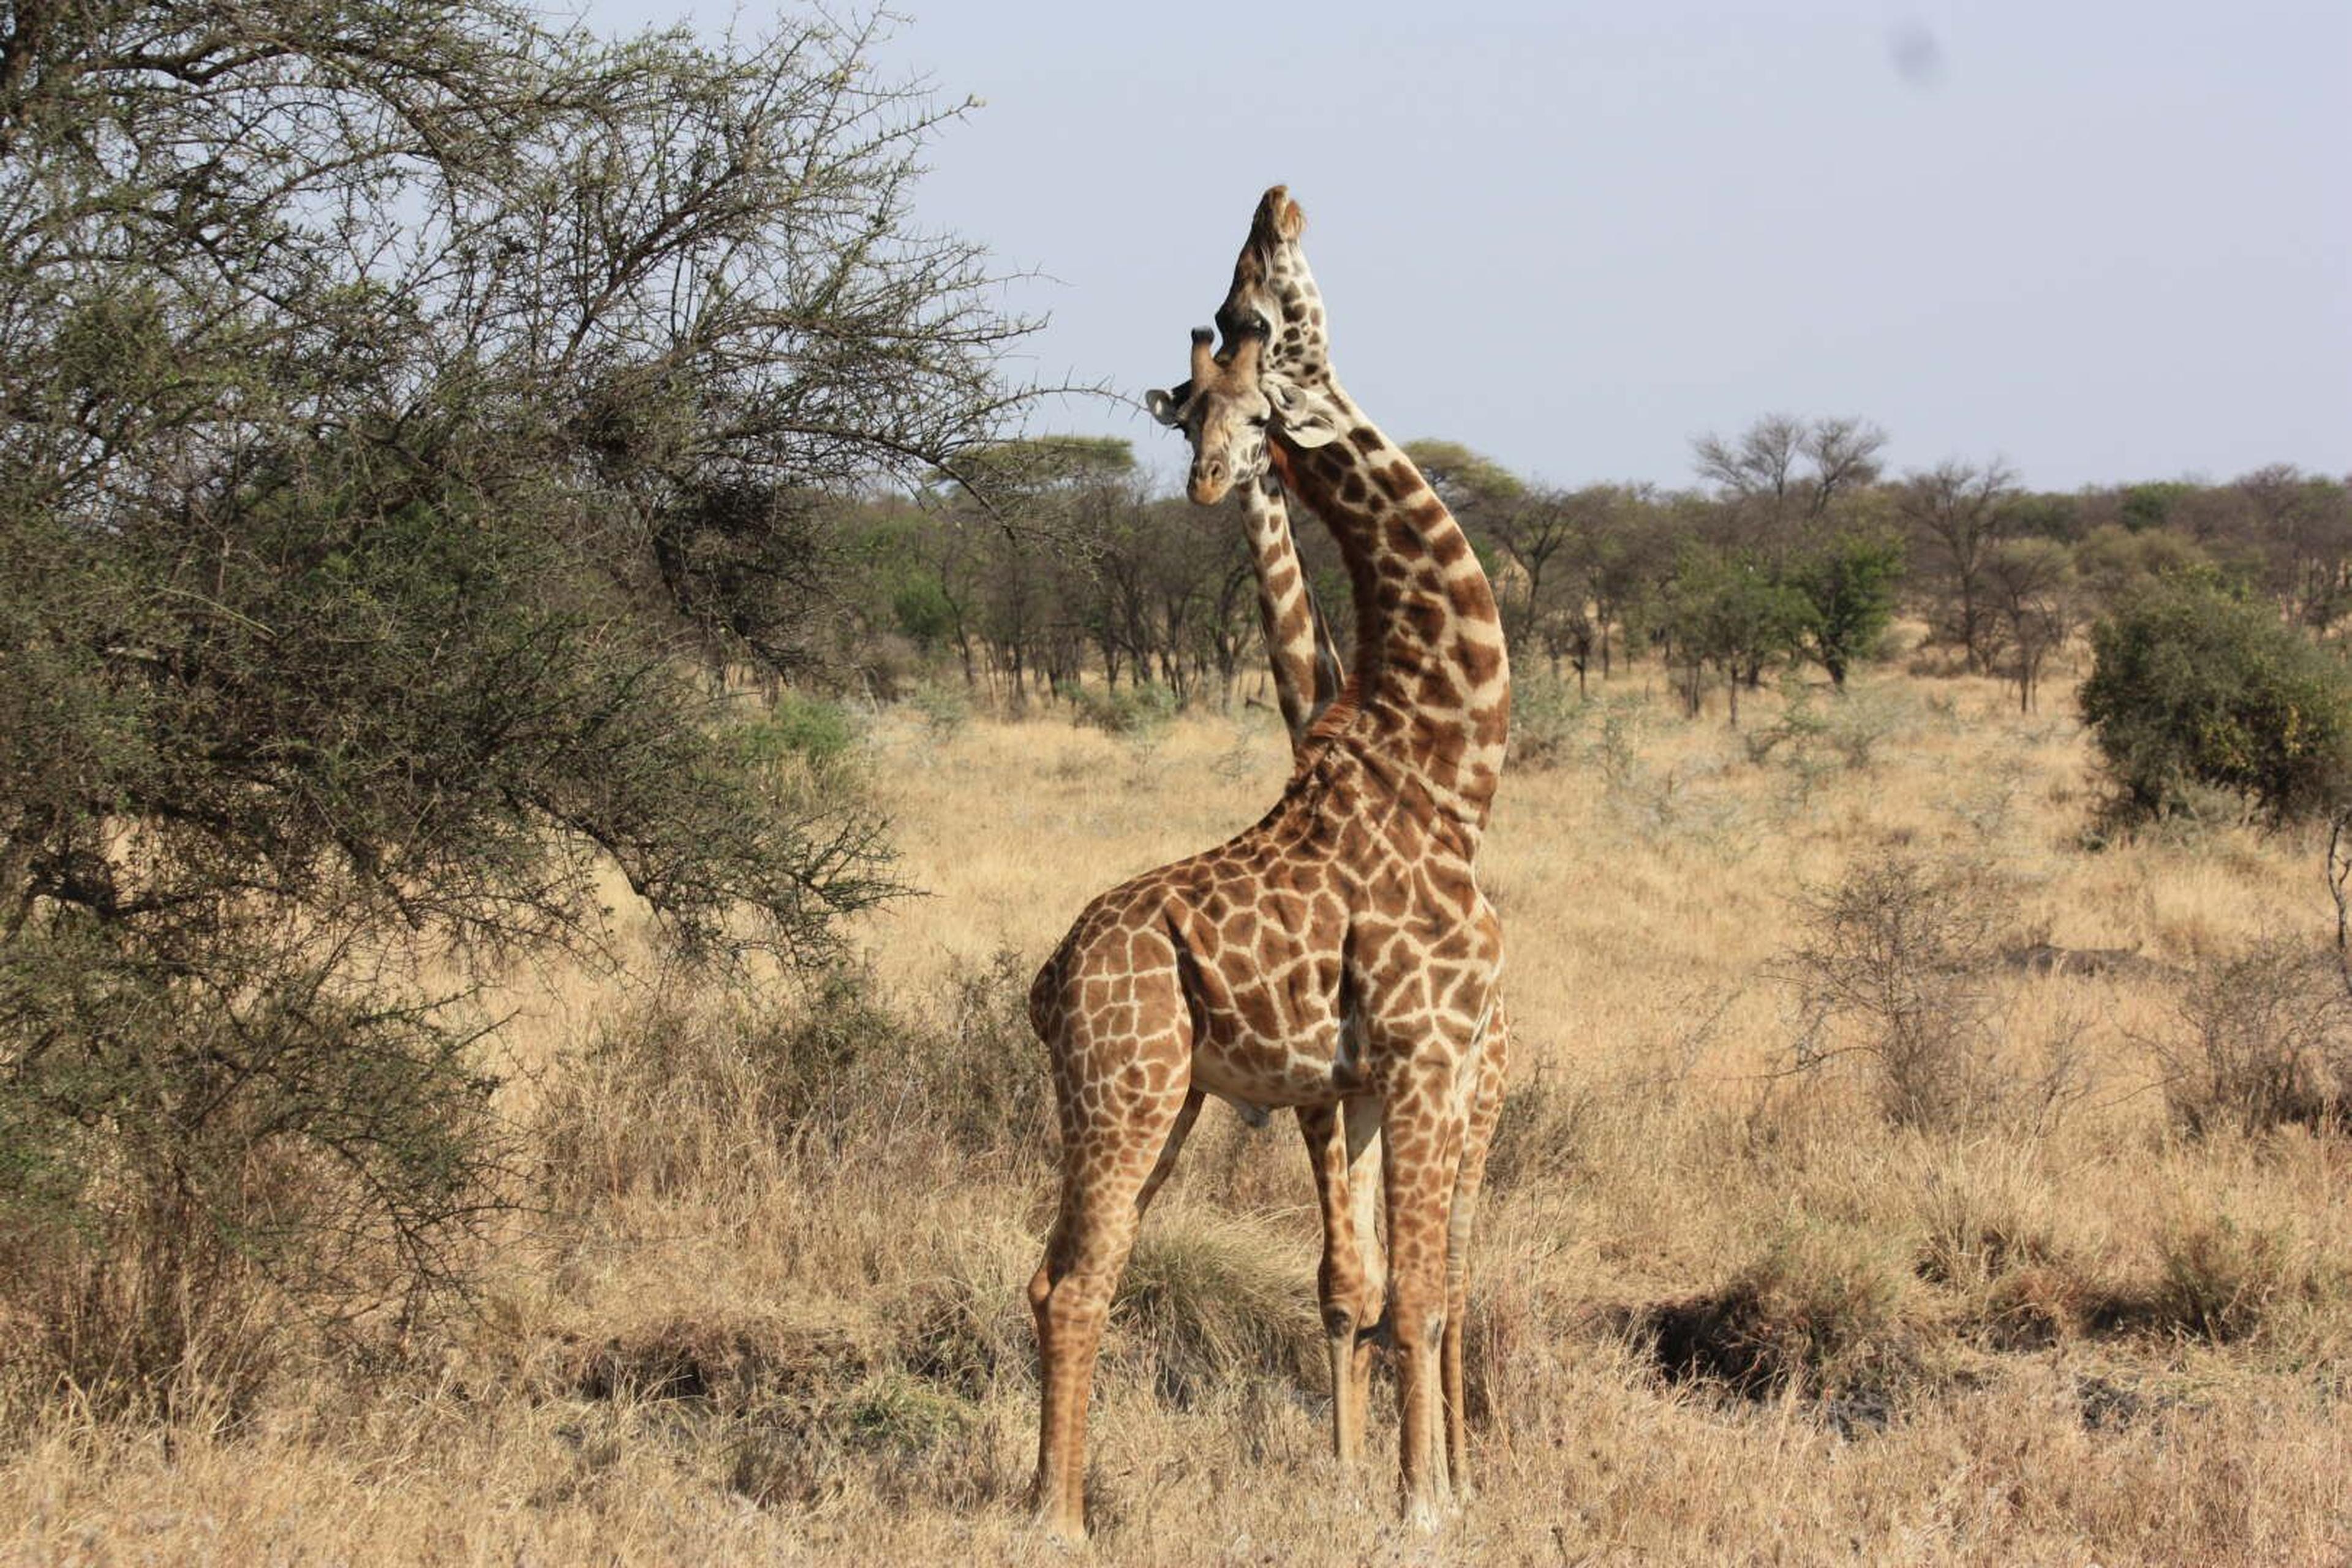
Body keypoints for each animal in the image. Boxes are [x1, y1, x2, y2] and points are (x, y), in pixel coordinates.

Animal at [1025, 190, 1505, 1542]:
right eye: (1245, 309)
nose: (1277, 198)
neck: (1446, 761)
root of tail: (1048, 983)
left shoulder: (1381, 1077)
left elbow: (1396, 1289)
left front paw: (1413, 1487)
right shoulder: (1419, 1058)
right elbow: (1402, 1292)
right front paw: (1419, 1508)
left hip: (1159, 1098)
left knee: (1051, 1276)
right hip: (1130, 1090)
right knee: (1074, 1284)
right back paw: (1055, 1519)